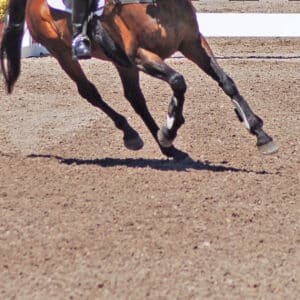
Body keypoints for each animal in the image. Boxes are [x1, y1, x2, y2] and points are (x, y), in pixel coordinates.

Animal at [0, 0, 278, 161]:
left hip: (121, 63)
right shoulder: (139, 55)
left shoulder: (192, 42)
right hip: (63, 53)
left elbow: (226, 81)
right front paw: (170, 127)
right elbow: (178, 81)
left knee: (135, 98)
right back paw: (135, 134)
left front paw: (259, 132)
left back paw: (165, 147)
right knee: (90, 92)